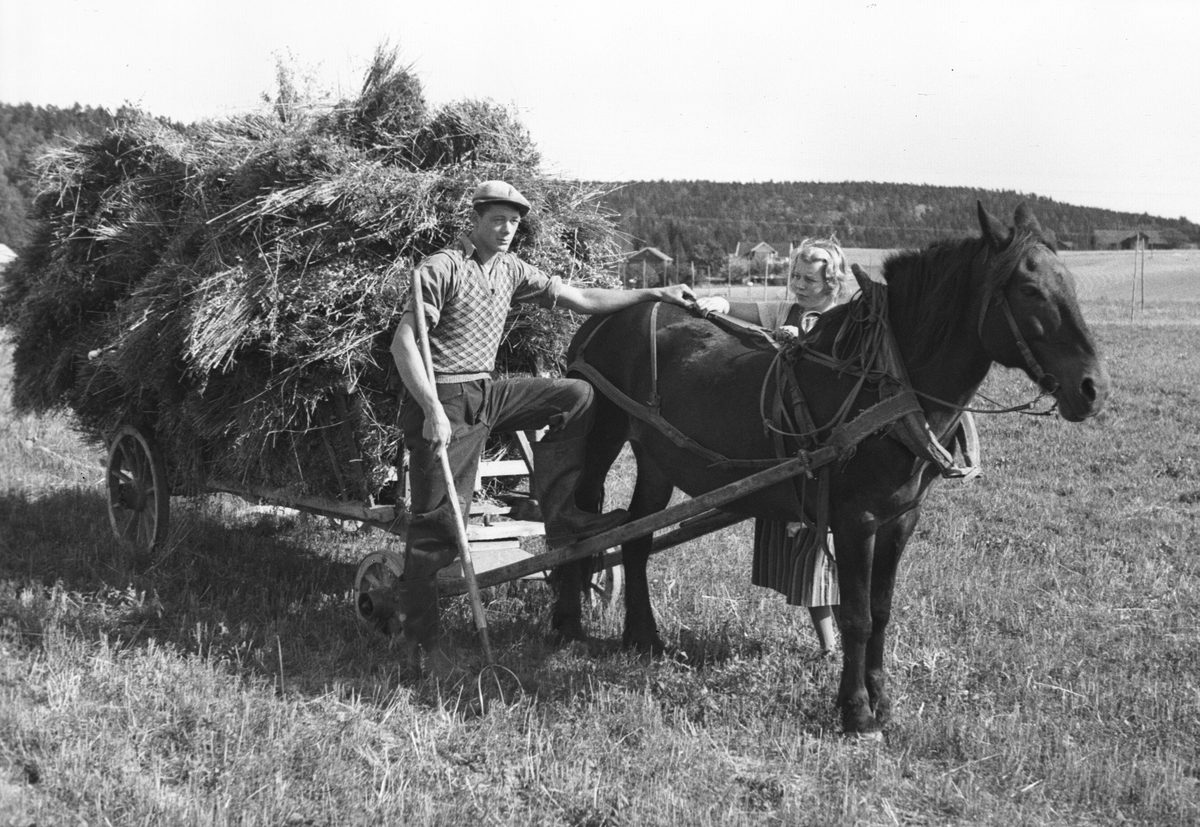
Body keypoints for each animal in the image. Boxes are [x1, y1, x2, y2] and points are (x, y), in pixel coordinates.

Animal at [549, 202, 1108, 734]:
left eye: (1070, 283)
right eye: (1031, 290)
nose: (1093, 389)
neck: (885, 384)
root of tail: (601, 319)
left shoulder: (901, 518)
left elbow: (881, 611)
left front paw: (881, 702)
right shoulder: (856, 518)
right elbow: (856, 616)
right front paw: (856, 712)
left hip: (657, 460)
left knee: (635, 538)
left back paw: (642, 636)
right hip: (602, 438)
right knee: (576, 527)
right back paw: (568, 622)